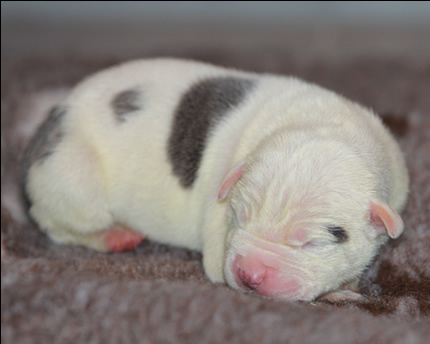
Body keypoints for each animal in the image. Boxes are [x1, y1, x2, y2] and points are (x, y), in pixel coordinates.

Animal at [21, 58, 410, 300]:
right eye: (236, 217)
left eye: (312, 243)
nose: (250, 276)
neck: (323, 125)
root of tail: (50, 119)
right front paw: (338, 292)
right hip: (73, 177)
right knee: (55, 223)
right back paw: (112, 235)